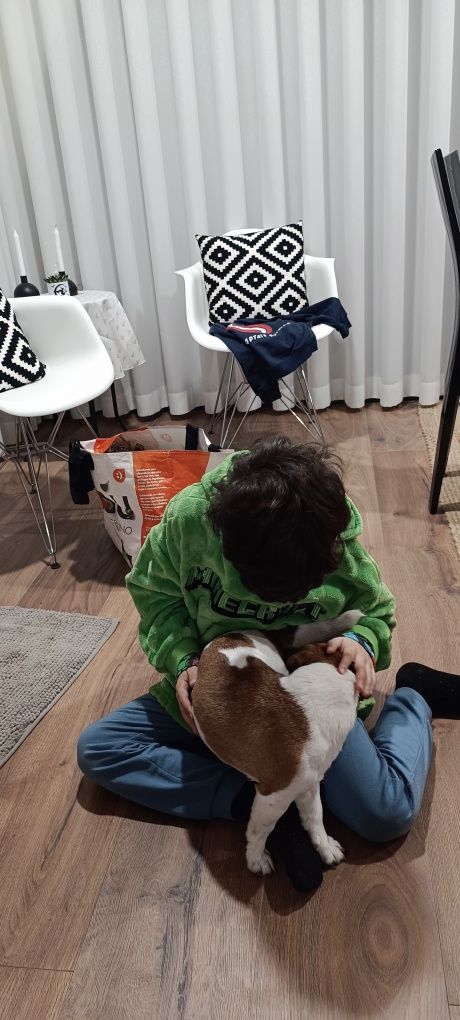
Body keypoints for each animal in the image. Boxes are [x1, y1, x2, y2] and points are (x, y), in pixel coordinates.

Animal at [192, 610, 361, 876]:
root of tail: (240, 632)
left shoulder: (308, 783)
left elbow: (315, 816)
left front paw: (324, 846)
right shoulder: (274, 795)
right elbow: (260, 831)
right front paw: (255, 858)